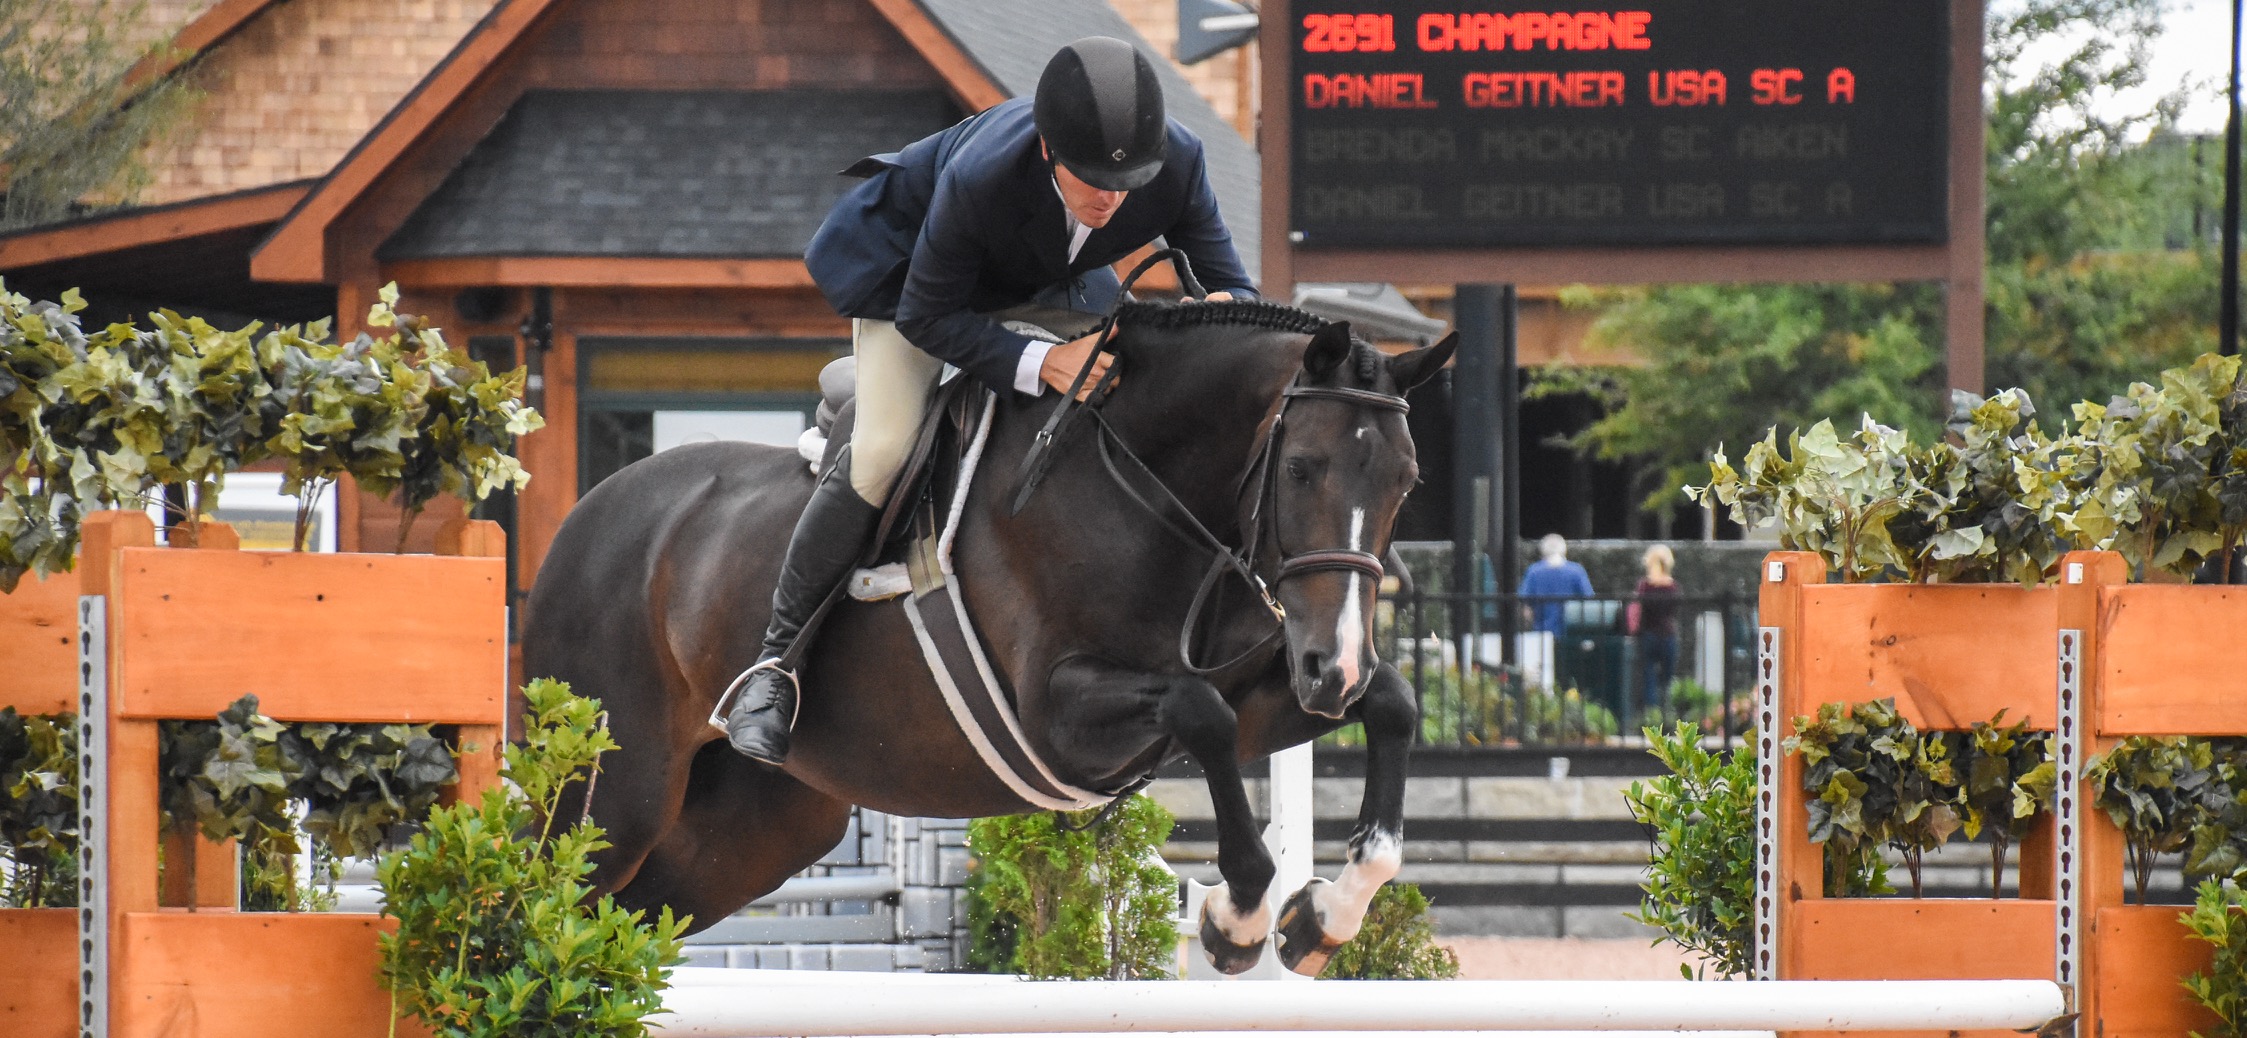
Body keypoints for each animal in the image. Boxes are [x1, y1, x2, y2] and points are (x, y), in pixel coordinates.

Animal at [521, 298, 1456, 975]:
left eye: (1407, 483)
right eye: (1300, 469)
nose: (1332, 668)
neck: (1152, 495)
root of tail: (584, 514)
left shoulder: (1262, 692)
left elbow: (1393, 706)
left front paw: (1321, 920)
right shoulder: (1058, 719)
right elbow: (1201, 713)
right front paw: (1239, 921)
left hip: (750, 829)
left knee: (626, 920)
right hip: (611, 796)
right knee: (551, 900)